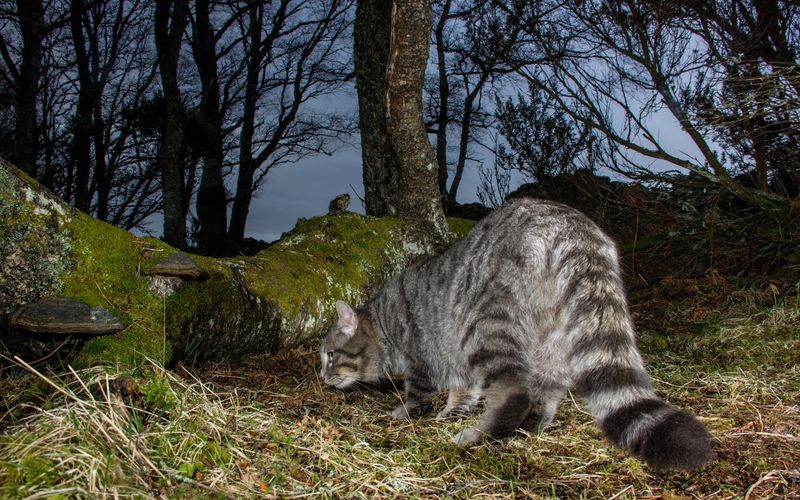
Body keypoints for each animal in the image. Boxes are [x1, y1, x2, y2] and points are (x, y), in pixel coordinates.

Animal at [318, 197, 712, 470]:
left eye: (329, 355)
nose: (322, 377)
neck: (382, 322)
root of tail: (567, 222)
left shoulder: (420, 347)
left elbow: (419, 389)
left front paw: (407, 411)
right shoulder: (452, 356)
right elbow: (464, 388)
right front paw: (454, 408)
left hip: (488, 318)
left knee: (513, 389)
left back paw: (483, 433)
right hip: (553, 335)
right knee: (547, 386)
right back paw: (532, 423)